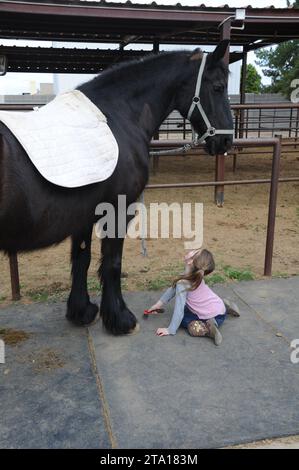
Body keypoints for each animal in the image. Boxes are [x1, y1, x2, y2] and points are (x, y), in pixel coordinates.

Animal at [0, 39, 234, 334]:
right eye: (218, 87)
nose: (226, 141)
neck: (117, 117)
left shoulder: (83, 216)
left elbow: (82, 259)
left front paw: (82, 311)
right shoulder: (118, 211)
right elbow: (112, 263)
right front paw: (121, 319)